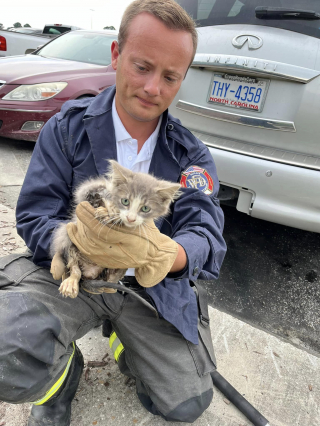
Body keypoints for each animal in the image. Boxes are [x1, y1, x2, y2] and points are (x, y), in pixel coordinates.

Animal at [48, 161, 181, 300]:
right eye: (125, 201)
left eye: (145, 208)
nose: (131, 218)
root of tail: (89, 273)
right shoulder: (88, 192)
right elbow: (97, 194)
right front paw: (109, 208)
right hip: (67, 239)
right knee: (74, 266)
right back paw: (71, 281)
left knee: (110, 280)